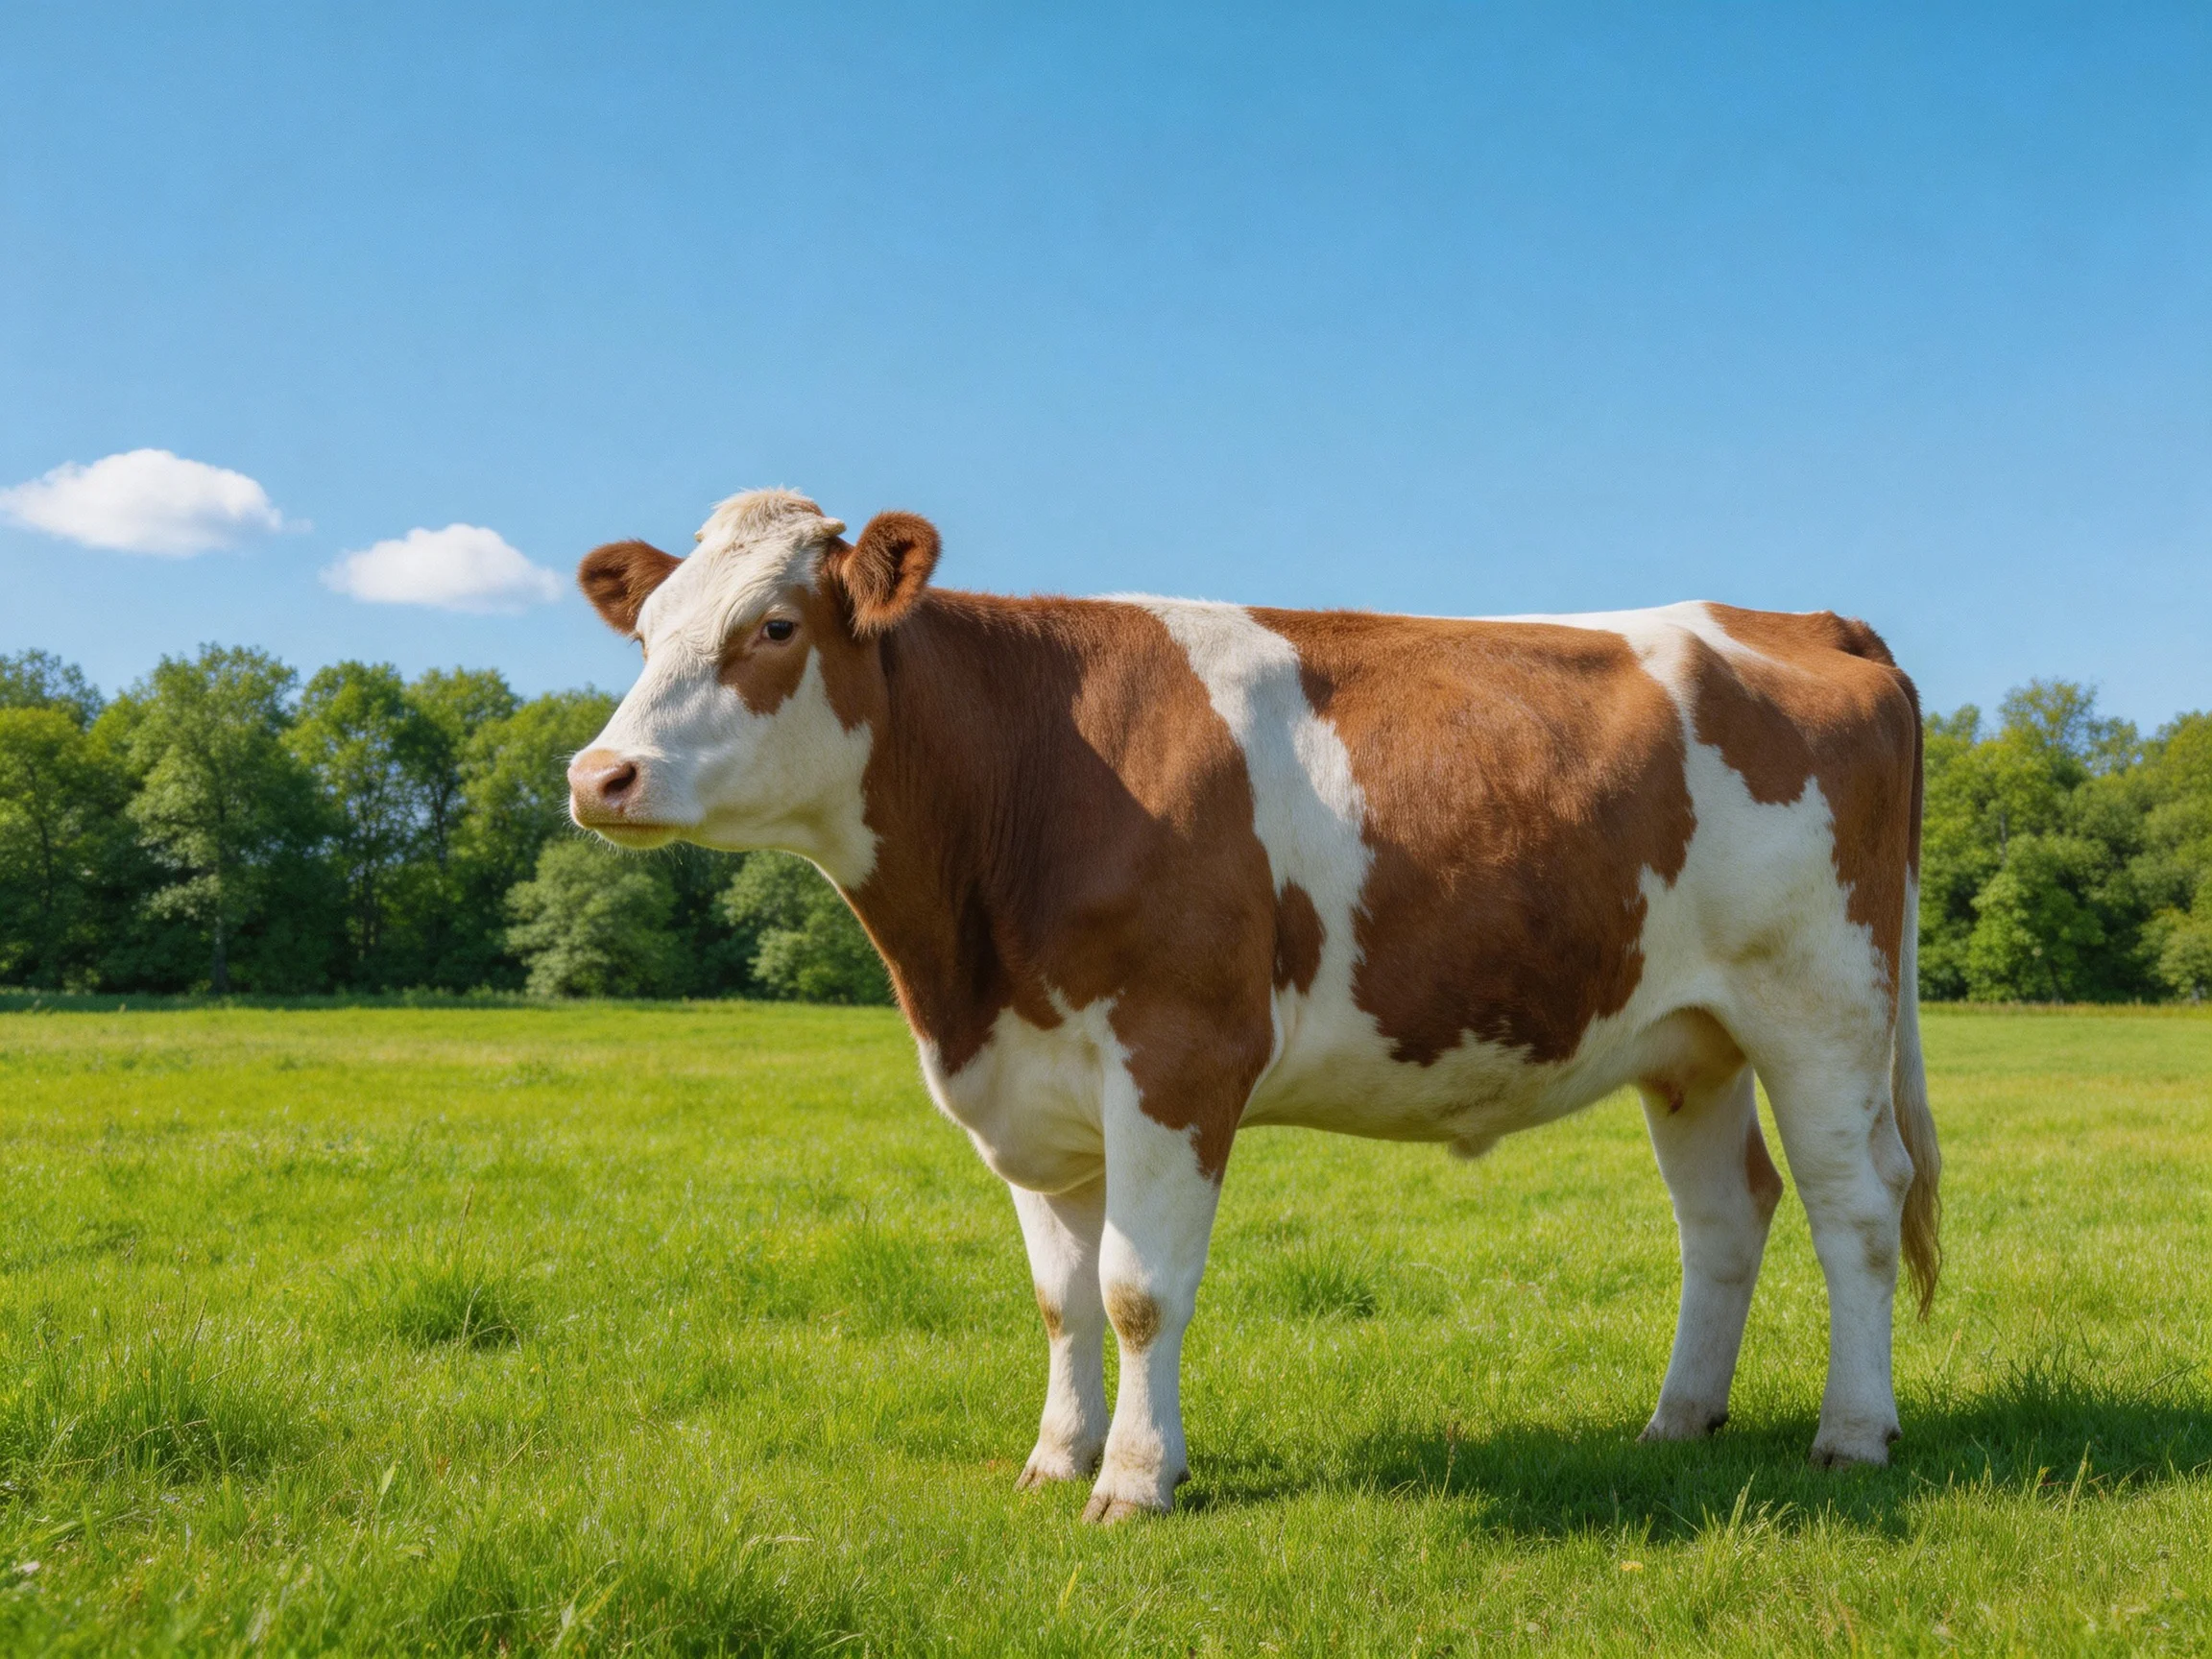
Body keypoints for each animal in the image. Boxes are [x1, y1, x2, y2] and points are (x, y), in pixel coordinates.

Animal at [567, 487, 1939, 1522]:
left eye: (775, 626)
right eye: (646, 637)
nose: (598, 773)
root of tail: (1800, 620)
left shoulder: (1178, 1054)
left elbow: (1137, 1289)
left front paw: (1132, 1483)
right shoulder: (1030, 1084)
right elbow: (1062, 1296)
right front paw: (1056, 1457)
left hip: (1822, 1004)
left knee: (1859, 1207)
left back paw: (1853, 1433)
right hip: (1691, 1041)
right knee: (1726, 1215)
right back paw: (1677, 1421)